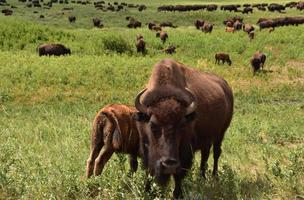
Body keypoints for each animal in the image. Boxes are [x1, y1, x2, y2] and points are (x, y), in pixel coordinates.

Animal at [133, 58, 233, 198]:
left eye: (182, 125)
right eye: (152, 125)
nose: (168, 164)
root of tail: (226, 87)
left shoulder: (185, 151)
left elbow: (179, 173)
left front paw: (177, 194)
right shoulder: (146, 147)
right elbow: (149, 170)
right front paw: (148, 192)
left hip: (221, 133)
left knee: (216, 153)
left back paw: (214, 176)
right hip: (207, 139)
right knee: (205, 155)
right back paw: (202, 178)